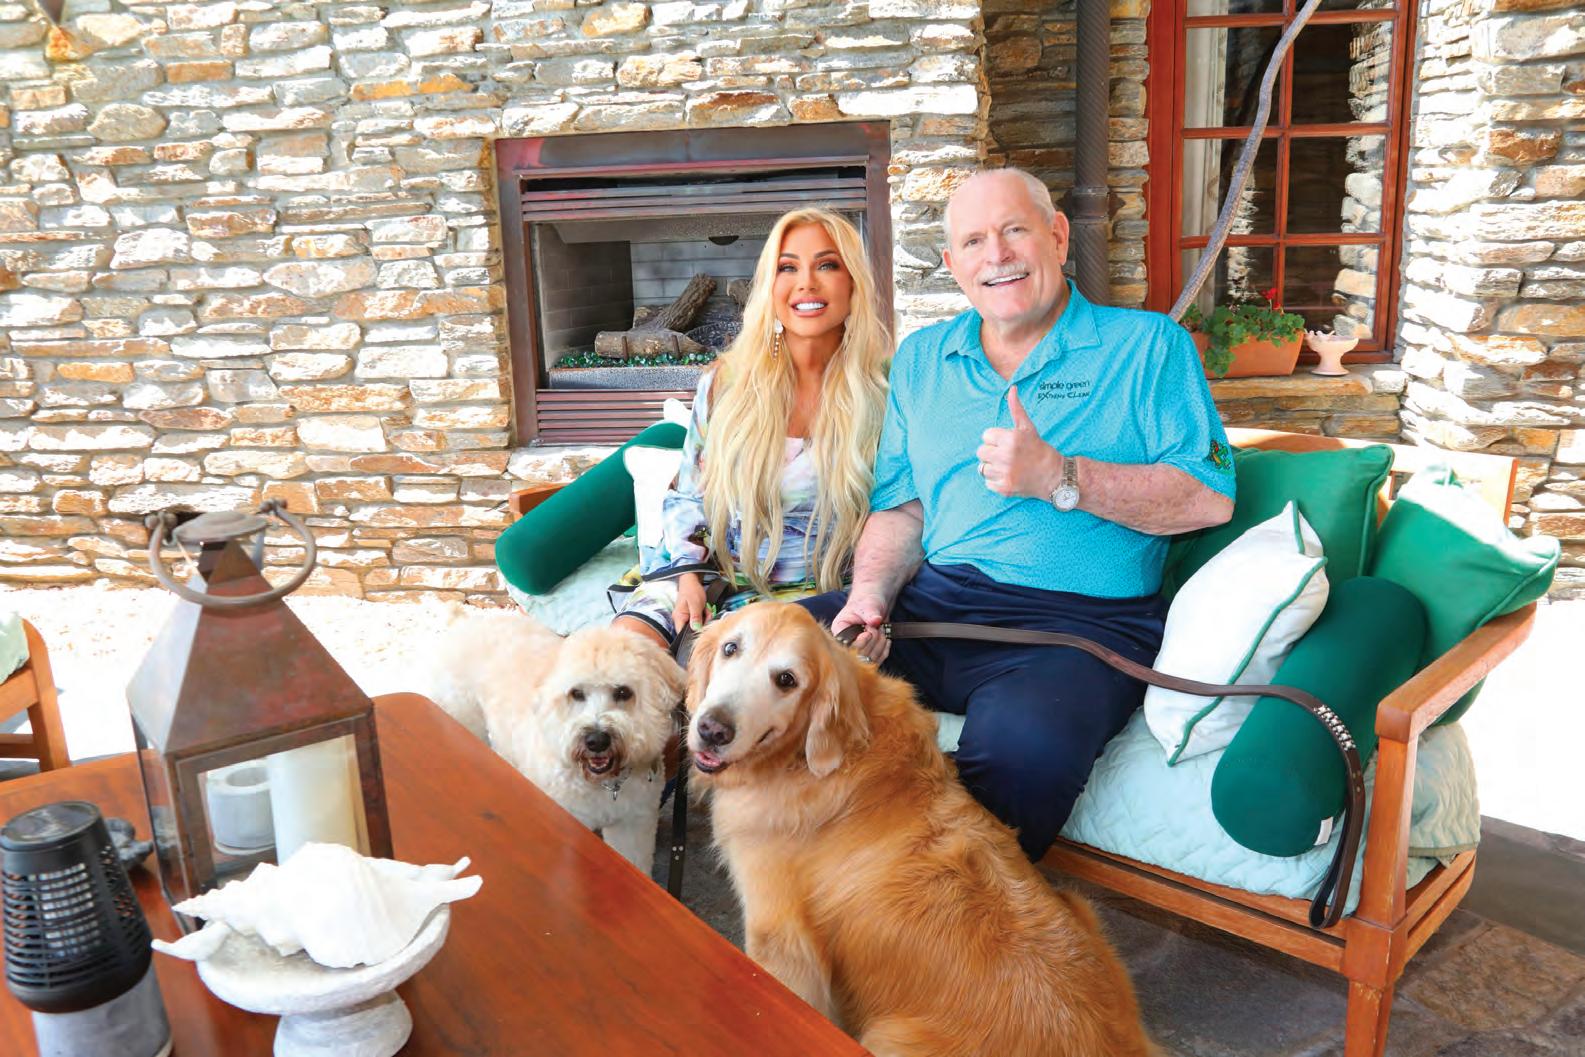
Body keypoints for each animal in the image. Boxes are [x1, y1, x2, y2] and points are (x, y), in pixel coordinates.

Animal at [432, 614, 684, 871]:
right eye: (576, 693)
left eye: (623, 692)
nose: (596, 740)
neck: (603, 785)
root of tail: (466, 622)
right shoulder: (567, 828)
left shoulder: (633, 822)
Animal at [686, 604, 1154, 1057]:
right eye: (730, 648)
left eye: (787, 680)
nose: (711, 730)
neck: (809, 760)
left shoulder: (780, 941)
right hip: (1081, 906)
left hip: (886, 1036)